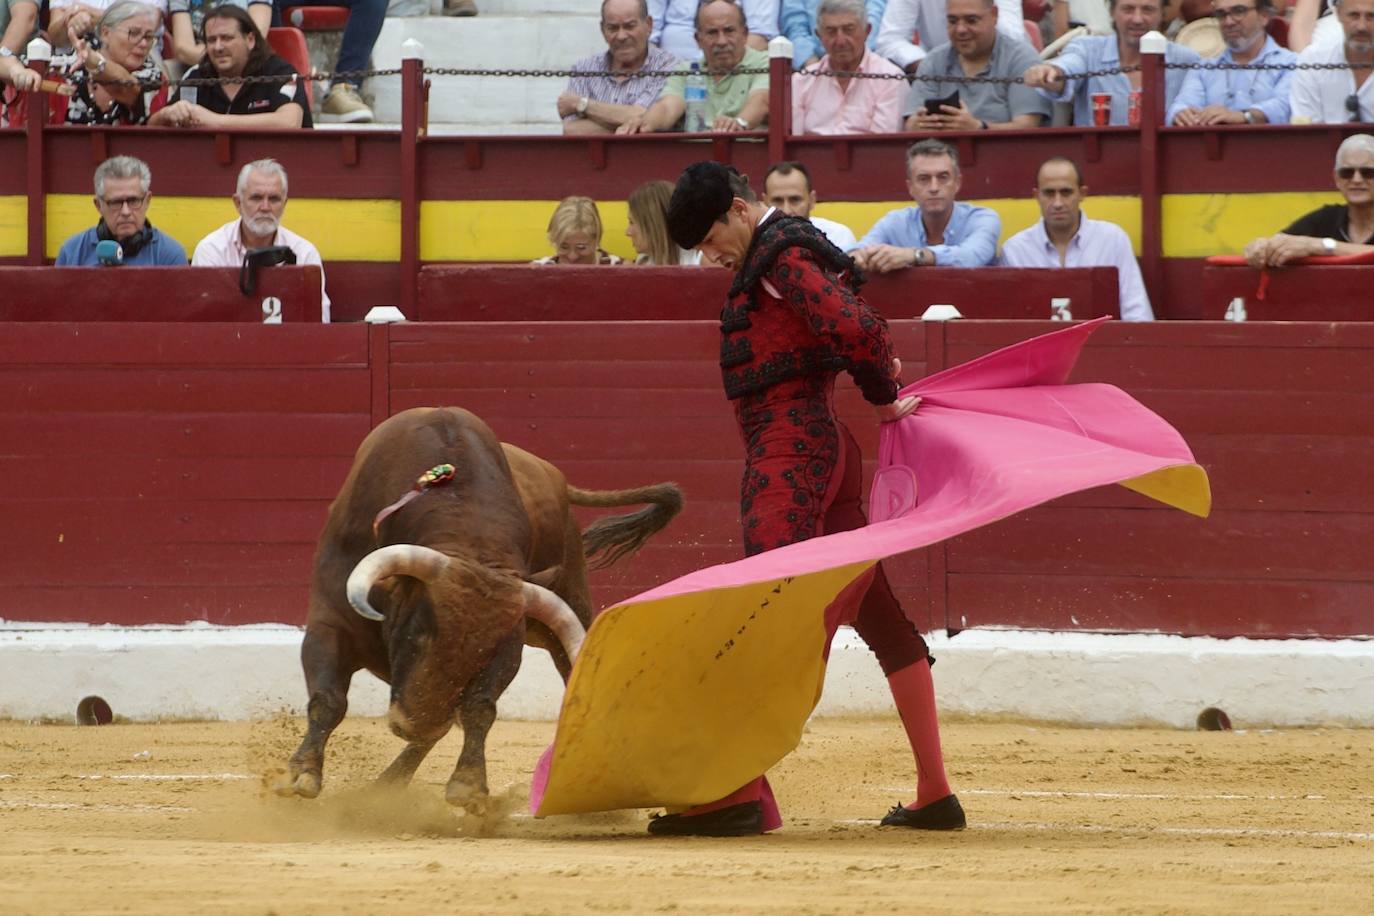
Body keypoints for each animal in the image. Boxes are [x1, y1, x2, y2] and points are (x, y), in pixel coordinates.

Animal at [276, 409, 684, 807]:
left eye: (483, 653)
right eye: (418, 634)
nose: (415, 724)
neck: (467, 535)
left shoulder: (509, 645)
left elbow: (480, 706)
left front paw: (468, 785)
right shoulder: (329, 623)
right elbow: (329, 700)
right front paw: (302, 774)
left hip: (572, 606)